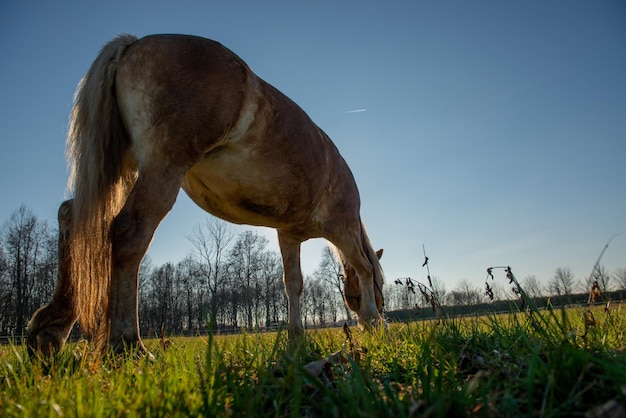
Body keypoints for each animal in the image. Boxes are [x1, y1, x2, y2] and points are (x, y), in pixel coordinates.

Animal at [26, 34, 382, 356]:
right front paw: (372, 321)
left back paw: (51, 331)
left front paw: (296, 337)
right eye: (381, 287)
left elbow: (292, 283)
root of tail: (134, 44)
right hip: (162, 169)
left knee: (73, 216)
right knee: (130, 231)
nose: (380, 317)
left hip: (117, 168)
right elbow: (363, 266)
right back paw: (127, 345)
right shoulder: (343, 227)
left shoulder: (288, 234)